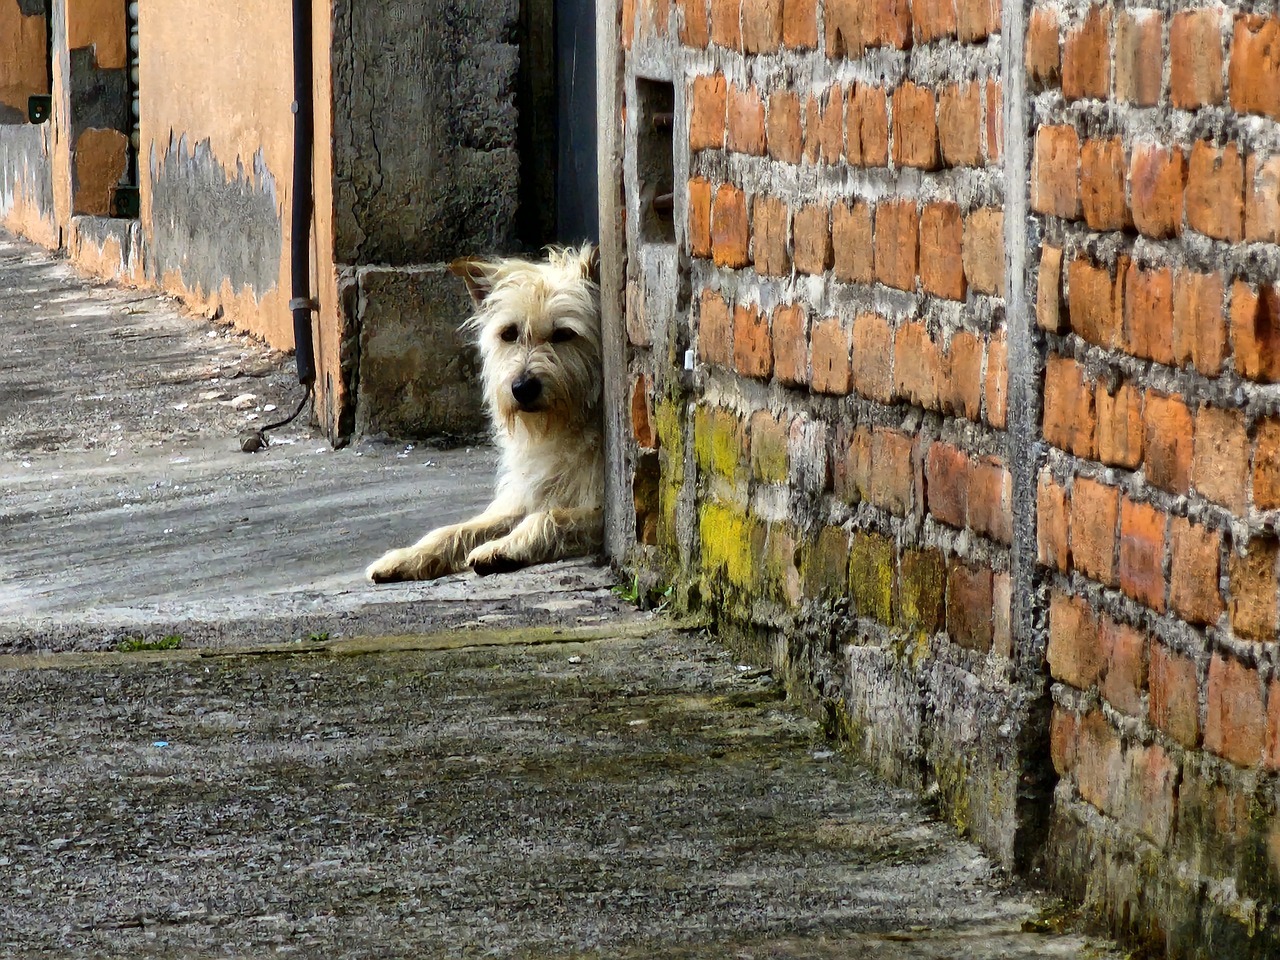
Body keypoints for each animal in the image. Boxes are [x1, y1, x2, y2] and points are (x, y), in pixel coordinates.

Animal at [366, 244, 604, 583]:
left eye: (563, 334)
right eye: (509, 333)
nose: (522, 388)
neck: (567, 424)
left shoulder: (605, 511)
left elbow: (548, 518)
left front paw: (504, 547)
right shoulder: (526, 495)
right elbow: (457, 529)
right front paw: (408, 557)